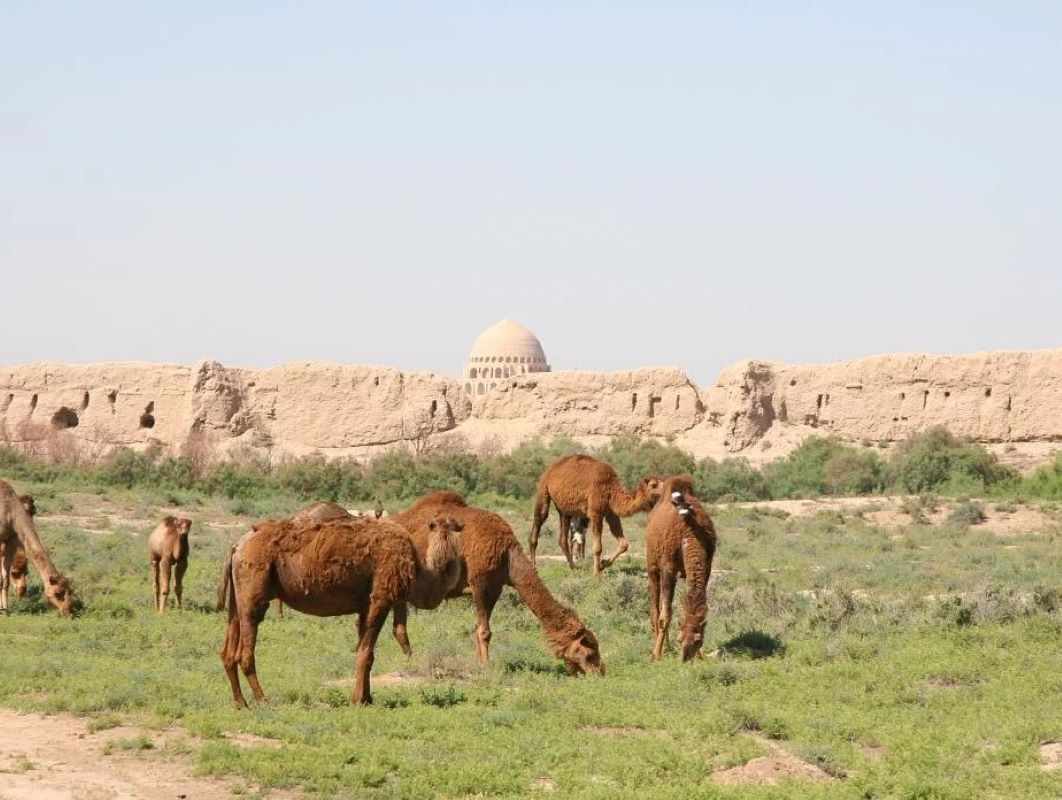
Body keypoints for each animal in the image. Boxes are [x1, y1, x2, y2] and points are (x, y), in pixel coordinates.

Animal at [0, 478, 73, 616]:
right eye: (58, 593)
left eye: (69, 590)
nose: (68, 611)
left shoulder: (11, 539)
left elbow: (5, 579)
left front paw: (5, 611)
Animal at [218, 512, 460, 705]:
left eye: (455, 526)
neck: (419, 572)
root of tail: (236, 547)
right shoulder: (381, 598)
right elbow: (366, 653)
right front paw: (357, 701)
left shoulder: (364, 606)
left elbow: (366, 651)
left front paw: (367, 698)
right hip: (253, 591)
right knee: (245, 652)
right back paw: (262, 700)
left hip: (237, 599)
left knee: (228, 651)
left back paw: (240, 703)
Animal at [392, 490, 607, 671]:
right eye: (589, 650)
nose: (600, 672)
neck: (507, 555)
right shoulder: (481, 583)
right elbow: (484, 631)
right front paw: (487, 666)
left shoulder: (495, 587)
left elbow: (478, 628)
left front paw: (480, 663)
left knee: (399, 628)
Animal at [531, 454, 662, 573]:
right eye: (654, 485)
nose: (665, 489)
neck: (611, 489)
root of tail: (549, 469)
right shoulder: (595, 513)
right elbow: (598, 547)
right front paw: (597, 574)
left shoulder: (611, 514)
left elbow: (624, 544)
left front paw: (603, 564)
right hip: (543, 488)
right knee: (539, 521)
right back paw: (534, 567)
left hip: (564, 509)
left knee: (563, 538)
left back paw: (574, 567)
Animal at [641, 473, 717, 662]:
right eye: (679, 639)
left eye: (699, 640)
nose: (685, 658)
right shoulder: (669, 568)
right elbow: (665, 616)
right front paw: (656, 655)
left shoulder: (706, 568)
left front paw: (699, 658)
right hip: (652, 565)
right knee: (655, 610)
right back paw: (661, 647)